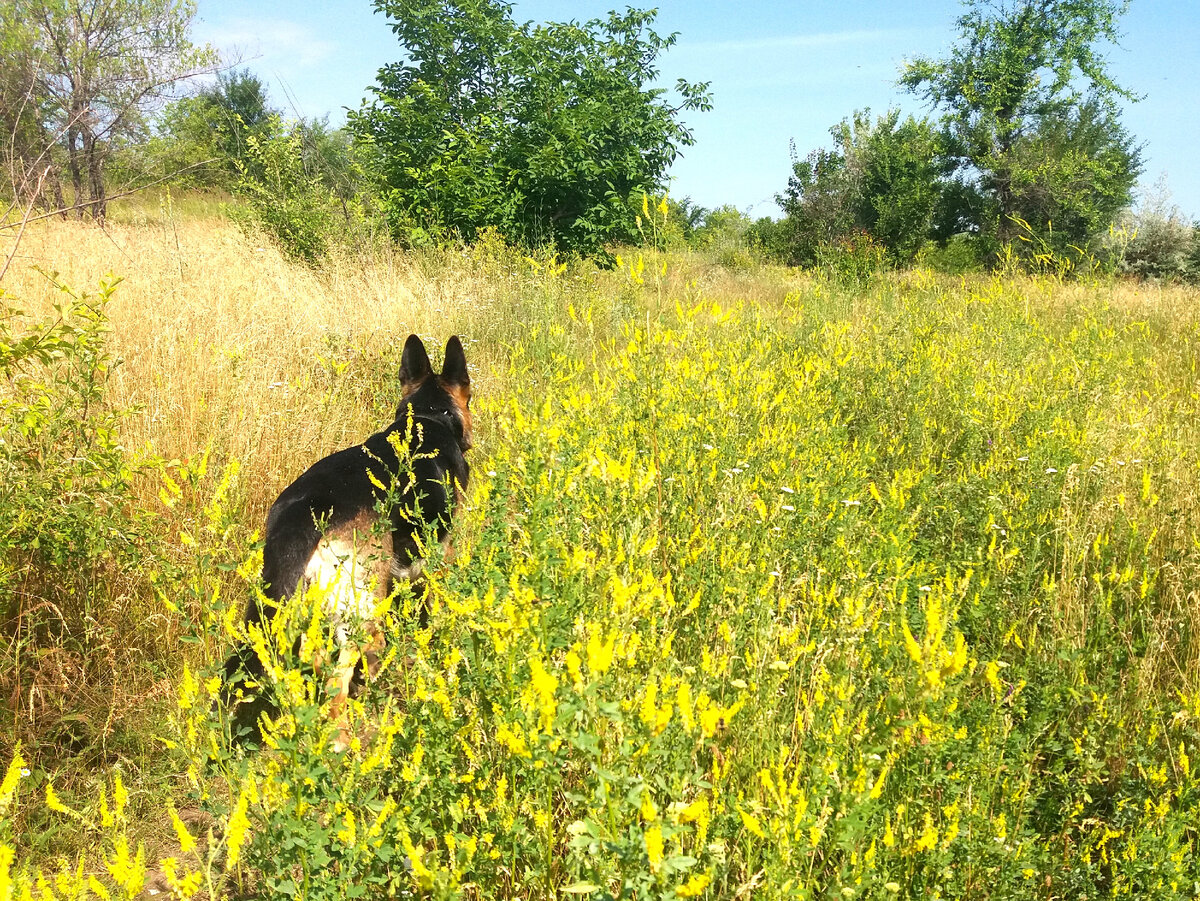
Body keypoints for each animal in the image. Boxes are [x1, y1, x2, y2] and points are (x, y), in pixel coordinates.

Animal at [223, 335, 470, 748]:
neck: (429, 416)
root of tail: (305, 512)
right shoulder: (441, 558)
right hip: (361, 614)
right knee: (347, 675)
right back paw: (345, 735)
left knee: (315, 665)